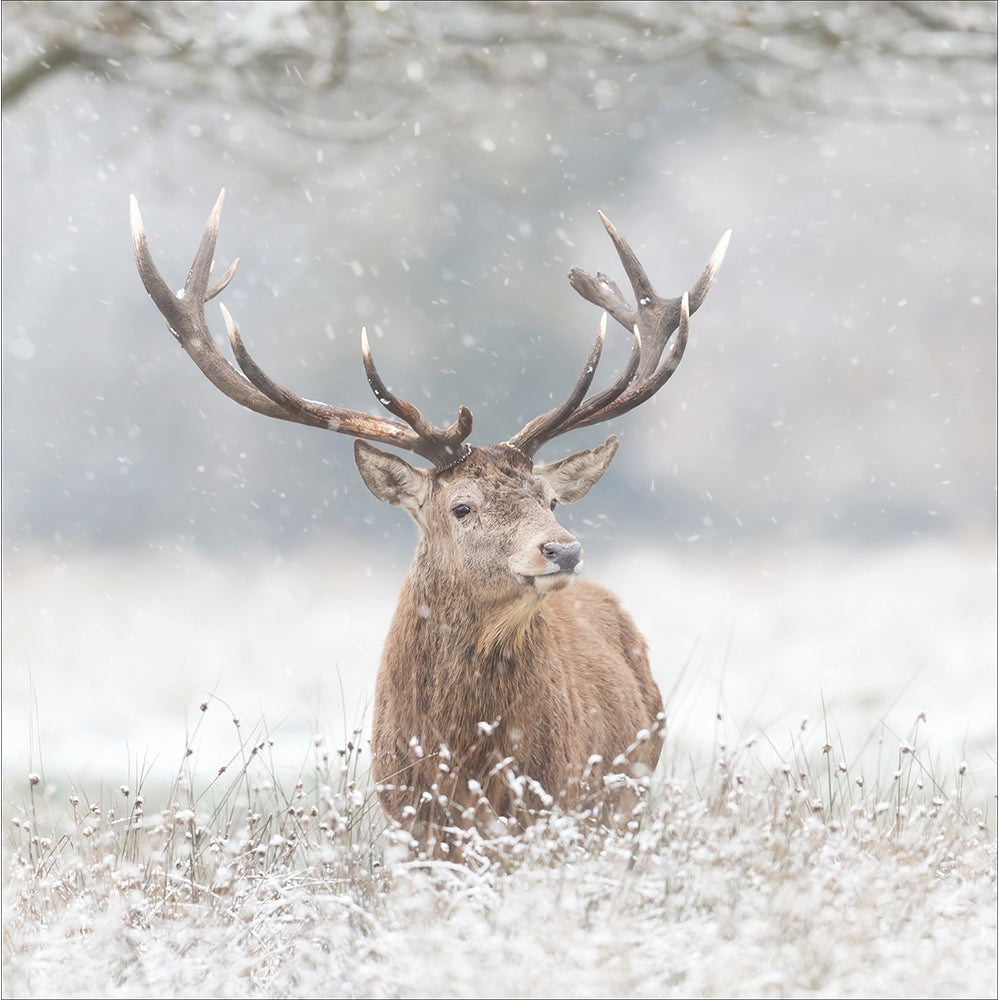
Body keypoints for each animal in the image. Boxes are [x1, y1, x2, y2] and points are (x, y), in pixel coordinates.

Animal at [130, 191, 729, 855]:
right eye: (460, 507)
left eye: (550, 500)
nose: (564, 551)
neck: (463, 759)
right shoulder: (407, 821)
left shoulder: (554, 809)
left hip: (623, 804)